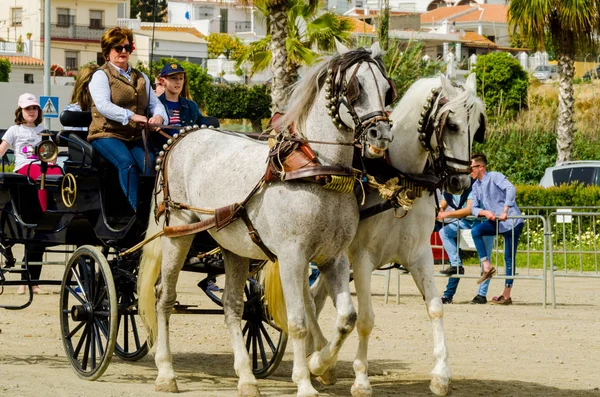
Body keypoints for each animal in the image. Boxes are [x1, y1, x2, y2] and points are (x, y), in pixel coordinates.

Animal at [138, 41, 396, 394]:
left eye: (386, 88)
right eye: (355, 88)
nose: (379, 135)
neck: (318, 170)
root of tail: (181, 137)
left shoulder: (334, 257)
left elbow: (346, 318)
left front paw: (320, 364)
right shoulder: (291, 257)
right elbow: (298, 321)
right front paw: (305, 381)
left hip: (232, 247)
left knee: (233, 307)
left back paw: (246, 377)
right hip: (179, 231)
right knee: (164, 296)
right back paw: (166, 372)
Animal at [308, 72, 486, 394]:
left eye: (477, 127)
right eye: (452, 125)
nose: (460, 182)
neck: (400, 178)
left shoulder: (420, 255)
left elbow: (435, 308)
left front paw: (441, 374)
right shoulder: (361, 258)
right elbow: (365, 319)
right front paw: (361, 379)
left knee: (314, 299)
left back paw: (318, 362)